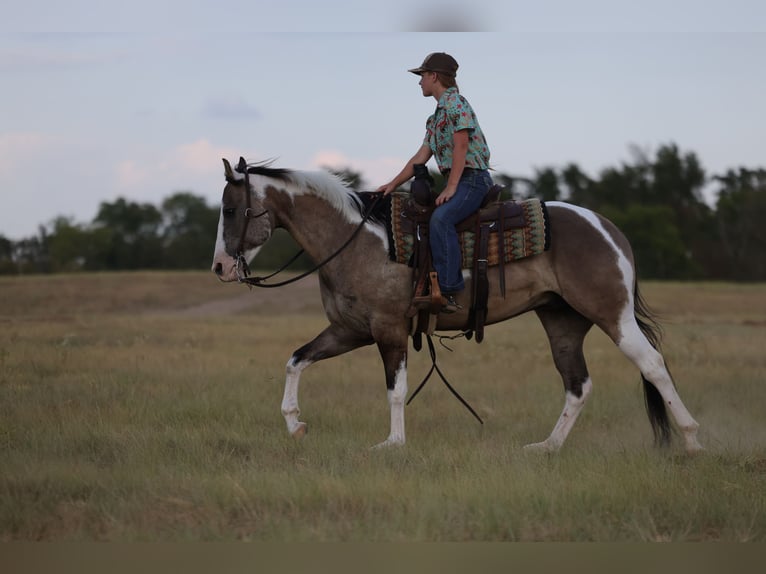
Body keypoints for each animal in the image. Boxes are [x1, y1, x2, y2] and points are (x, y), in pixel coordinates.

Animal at [211, 157, 703, 453]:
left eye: (231, 210)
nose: (219, 267)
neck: (356, 240)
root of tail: (607, 228)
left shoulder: (388, 330)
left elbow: (395, 389)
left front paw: (392, 444)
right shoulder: (350, 330)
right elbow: (296, 360)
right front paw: (295, 424)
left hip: (611, 315)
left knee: (653, 366)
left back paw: (693, 441)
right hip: (562, 321)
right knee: (578, 385)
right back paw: (546, 448)